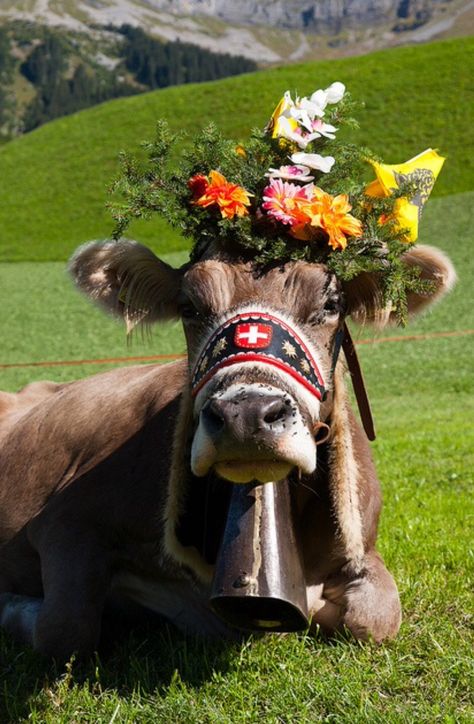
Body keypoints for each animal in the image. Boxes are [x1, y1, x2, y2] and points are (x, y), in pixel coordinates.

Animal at [0, 240, 454, 660]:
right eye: (189, 306)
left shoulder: (362, 545)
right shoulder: (65, 518)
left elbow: (374, 620)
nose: (247, 415)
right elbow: (66, 629)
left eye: (331, 303)